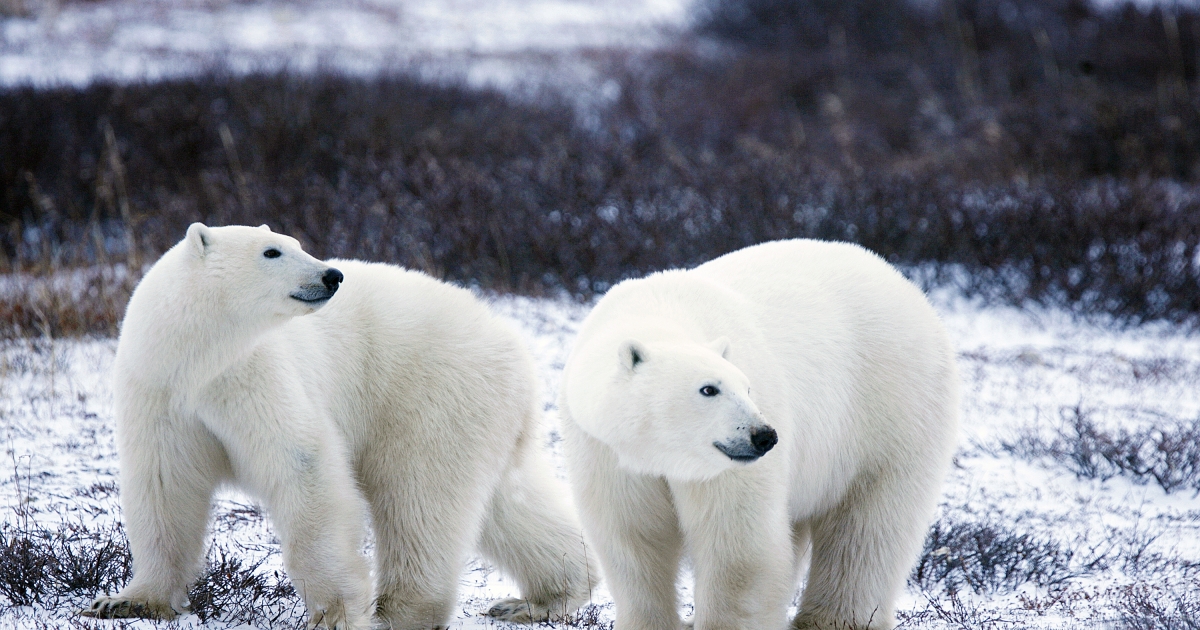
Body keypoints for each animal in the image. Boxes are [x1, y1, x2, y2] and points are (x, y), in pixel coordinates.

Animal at [82, 224, 592, 628]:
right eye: (272, 251)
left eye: (296, 243)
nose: (332, 275)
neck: (197, 360)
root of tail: (514, 344)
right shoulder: (160, 393)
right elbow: (164, 486)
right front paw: (126, 602)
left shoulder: (254, 376)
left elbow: (303, 466)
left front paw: (337, 613)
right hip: (481, 412)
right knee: (507, 503)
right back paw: (543, 598)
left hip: (431, 393)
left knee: (419, 497)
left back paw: (401, 609)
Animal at [556, 238, 960, 624]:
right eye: (709, 389)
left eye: (747, 387)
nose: (764, 436)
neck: (657, 313)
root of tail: (906, 285)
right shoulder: (606, 451)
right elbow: (632, 539)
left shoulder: (725, 470)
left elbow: (738, 547)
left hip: (890, 408)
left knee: (869, 527)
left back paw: (832, 619)